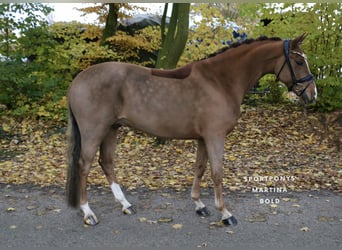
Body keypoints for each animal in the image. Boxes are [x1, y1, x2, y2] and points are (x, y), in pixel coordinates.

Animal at [67, 33, 318, 227]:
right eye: (298, 62)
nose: (312, 94)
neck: (220, 81)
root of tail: (77, 80)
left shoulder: (202, 138)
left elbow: (200, 168)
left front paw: (199, 205)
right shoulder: (215, 136)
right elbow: (217, 172)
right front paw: (225, 213)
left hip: (112, 129)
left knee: (107, 163)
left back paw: (125, 205)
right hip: (94, 131)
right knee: (84, 165)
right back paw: (88, 213)